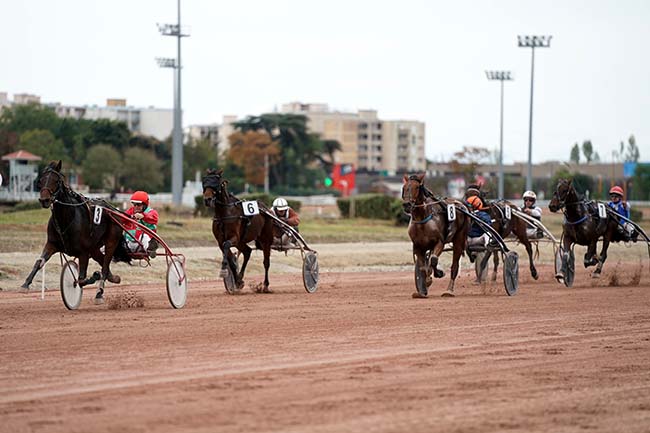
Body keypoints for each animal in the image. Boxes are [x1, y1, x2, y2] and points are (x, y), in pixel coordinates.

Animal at [22, 160, 131, 302]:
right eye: (41, 180)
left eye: (56, 181)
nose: (44, 200)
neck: (67, 219)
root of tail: (115, 211)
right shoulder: (52, 243)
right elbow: (39, 262)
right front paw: (25, 284)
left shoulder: (83, 252)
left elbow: (81, 280)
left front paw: (94, 276)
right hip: (94, 248)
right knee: (103, 262)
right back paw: (114, 278)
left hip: (111, 242)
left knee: (105, 266)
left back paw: (99, 293)